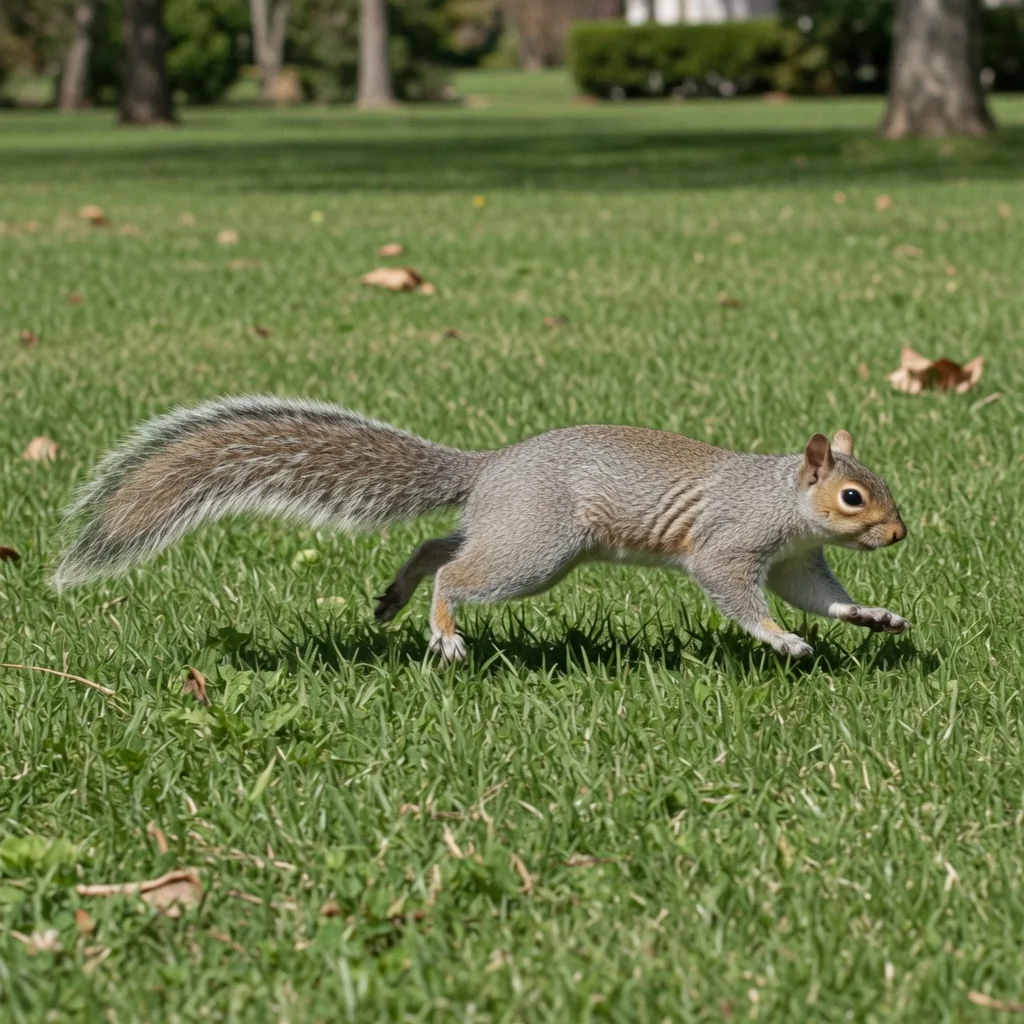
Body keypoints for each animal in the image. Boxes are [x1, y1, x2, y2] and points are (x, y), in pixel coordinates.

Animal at [54, 396, 909, 661]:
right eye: (853, 498)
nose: (899, 536)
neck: (784, 500)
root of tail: (493, 467)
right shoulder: (731, 544)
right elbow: (737, 593)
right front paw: (782, 641)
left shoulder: (796, 560)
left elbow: (821, 595)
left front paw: (873, 615)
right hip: (539, 547)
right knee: (455, 571)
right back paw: (442, 628)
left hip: (519, 534)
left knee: (438, 542)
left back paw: (394, 598)